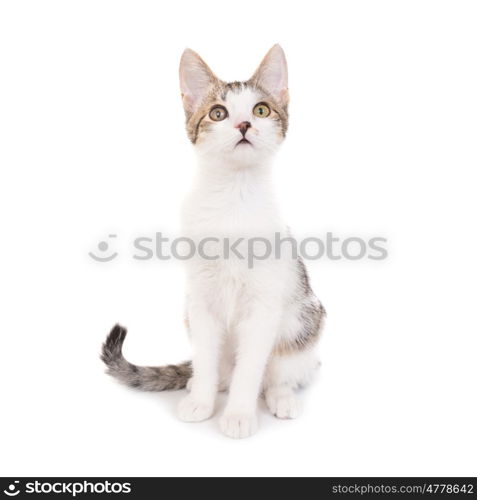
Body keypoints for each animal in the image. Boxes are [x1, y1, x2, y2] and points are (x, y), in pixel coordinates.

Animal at [100, 46, 324, 438]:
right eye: (218, 113)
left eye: (261, 110)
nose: (243, 124)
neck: (232, 196)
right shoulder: (201, 300)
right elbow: (205, 358)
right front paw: (201, 403)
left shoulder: (263, 306)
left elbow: (251, 370)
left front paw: (238, 415)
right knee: (219, 368)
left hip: (304, 321)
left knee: (280, 371)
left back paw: (280, 396)